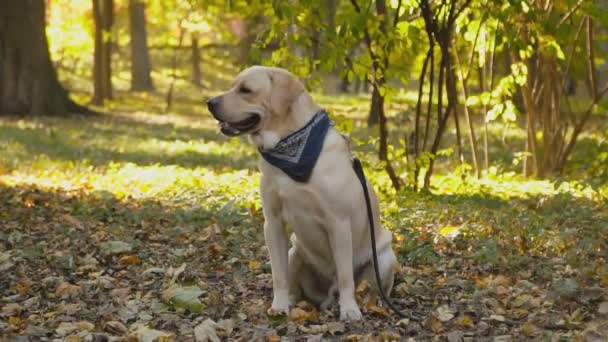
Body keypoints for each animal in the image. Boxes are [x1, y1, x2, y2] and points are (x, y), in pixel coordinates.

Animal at [208, 67, 400, 320]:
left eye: (246, 90)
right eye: (232, 86)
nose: (209, 102)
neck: (290, 147)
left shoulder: (339, 223)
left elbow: (346, 276)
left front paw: (349, 309)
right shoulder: (273, 223)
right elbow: (278, 275)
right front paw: (279, 305)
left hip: (385, 258)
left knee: (366, 287)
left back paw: (370, 304)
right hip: (294, 252)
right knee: (296, 286)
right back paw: (292, 300)